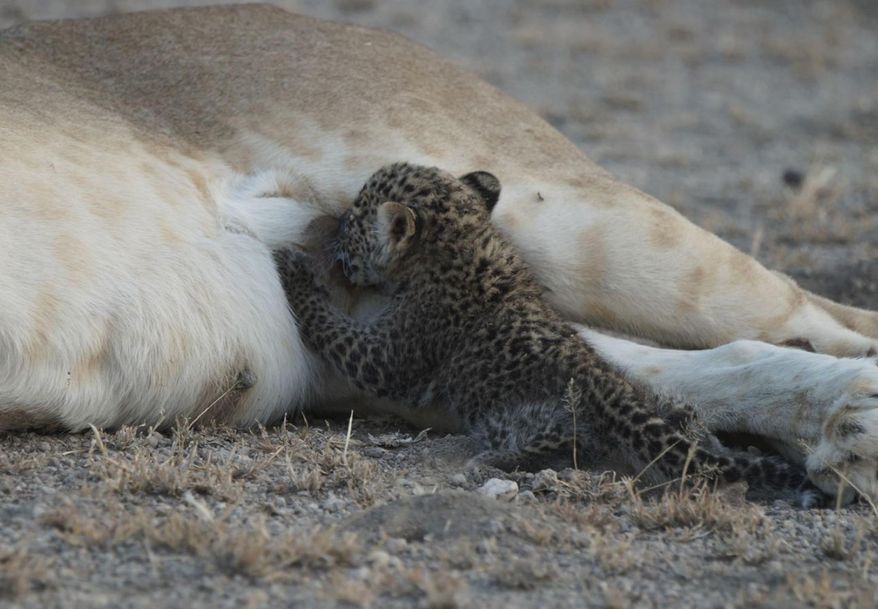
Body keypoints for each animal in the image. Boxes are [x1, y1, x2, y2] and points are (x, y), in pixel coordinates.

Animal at [275, 162, 808, 493]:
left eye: (352, 223)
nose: (333, 227)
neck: (464, 240)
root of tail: (610, 390)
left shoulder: (394, 353)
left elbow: (336, 331)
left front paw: (291, 269)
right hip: (664, 405)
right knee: (689, 423)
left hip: (525, 416)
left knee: (566, 442)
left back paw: (491, 462)